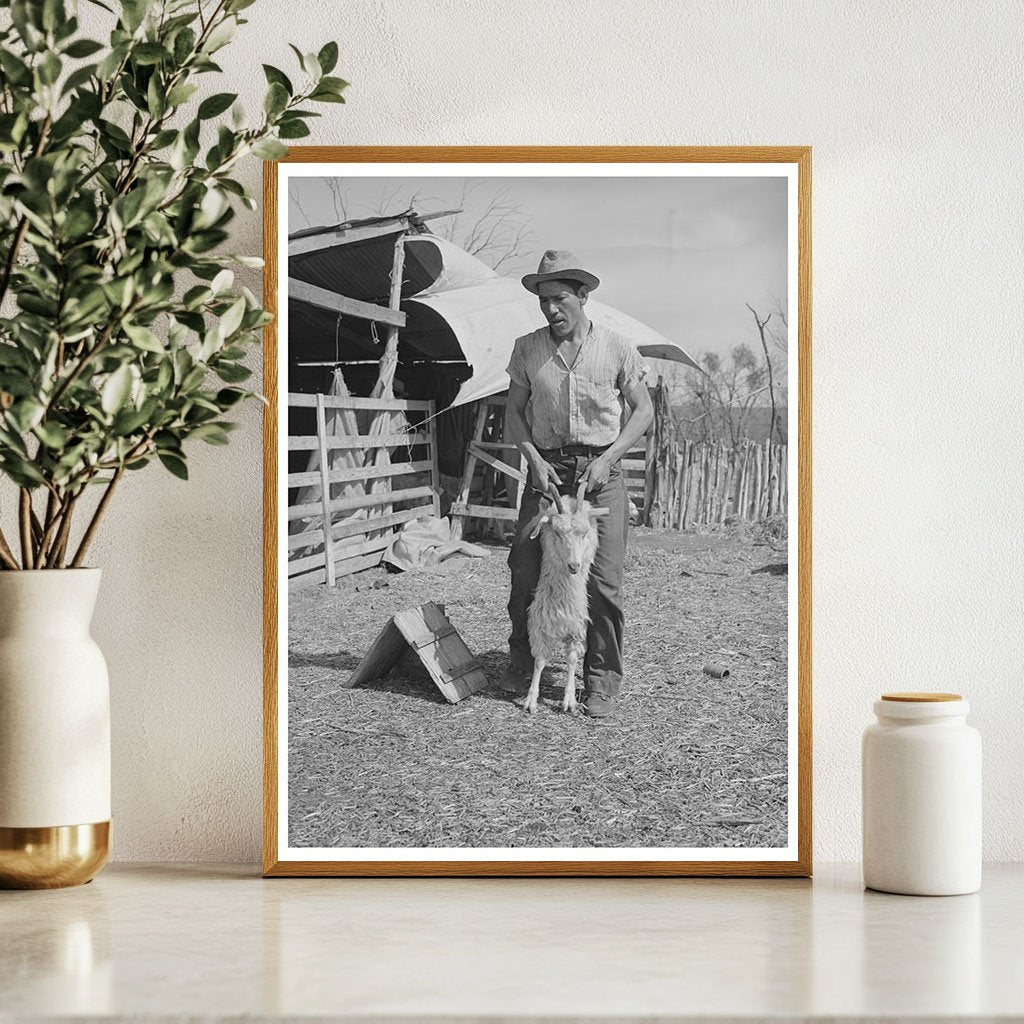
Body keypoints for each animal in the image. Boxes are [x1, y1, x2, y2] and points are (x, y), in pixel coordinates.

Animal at [520, 477, 606, 712]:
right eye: (557, 533)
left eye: (584, 534)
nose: (574, 566)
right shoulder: (540, 626)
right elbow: (539, 661)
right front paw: (531, 700)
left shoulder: (577, 629)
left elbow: (572, 660)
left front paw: (569, 699)